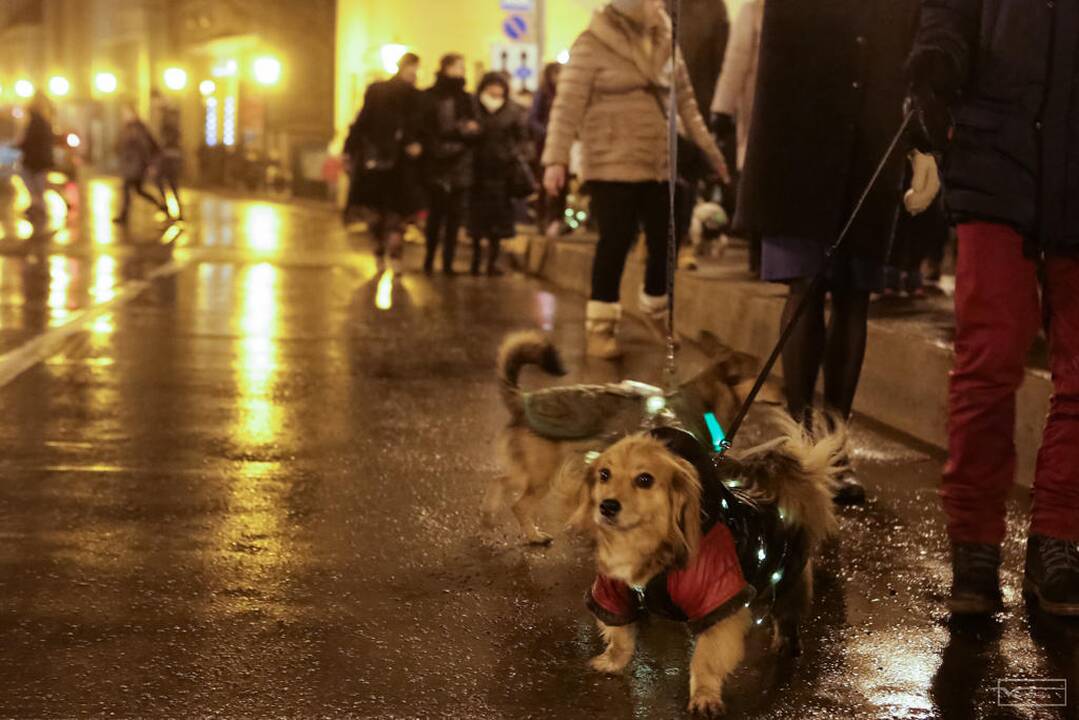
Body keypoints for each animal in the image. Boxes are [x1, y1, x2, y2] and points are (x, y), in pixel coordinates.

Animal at [489, 332, 759, 546]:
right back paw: (534, 535)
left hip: (532, 470)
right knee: (519, 504)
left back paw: (488, 513)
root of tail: (521, 400)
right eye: (761, 376)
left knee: (501, 481)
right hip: (543, 473)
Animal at [574, 416, 841, 716]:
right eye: (604, 475)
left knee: (787, 616)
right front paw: (613, 660)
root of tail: (778, 496)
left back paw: (787, 644)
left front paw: (704, 695)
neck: (648, 546)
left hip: (786, 581)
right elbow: (620, 636)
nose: (607, 506)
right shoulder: (614, 593)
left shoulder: (721, 606)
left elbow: (706, 659)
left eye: (645, 480)